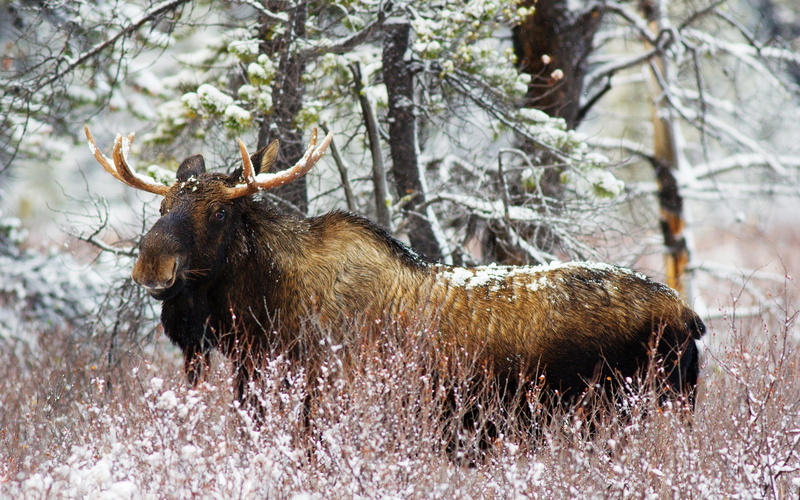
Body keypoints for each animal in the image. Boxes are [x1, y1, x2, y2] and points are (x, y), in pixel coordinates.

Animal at [84, 125, 706, 427]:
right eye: (162, 206)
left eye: (218, 212)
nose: (152, 265)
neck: (257, 318)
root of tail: (690, 317)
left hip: (637, 411)